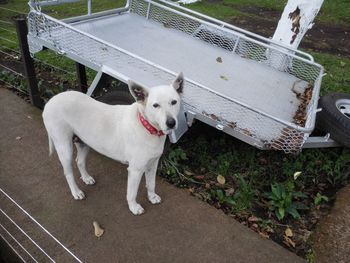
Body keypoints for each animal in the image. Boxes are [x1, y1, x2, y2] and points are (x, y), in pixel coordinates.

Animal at [42, 73, 185, 216]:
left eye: (174, 102)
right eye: (155, 105)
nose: (171, 123)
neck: (146, 126)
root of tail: (51, 101)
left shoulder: (152, 164)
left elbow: (151, 183)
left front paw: (152, 197)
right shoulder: (135, 170)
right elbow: (132, 193)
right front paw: (133, 207)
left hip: (84, 143)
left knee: (80, 161)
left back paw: (86, 178)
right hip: (64, 148)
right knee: (68, 173)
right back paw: (76, 192)